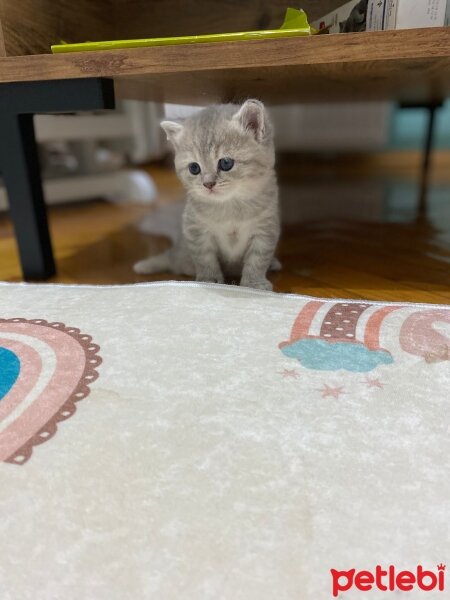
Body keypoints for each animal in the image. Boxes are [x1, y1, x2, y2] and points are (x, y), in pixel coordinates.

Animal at [134, 99, 282, 290]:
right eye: (194, 168)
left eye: (226, 163)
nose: (208, 184)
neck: (231, 205)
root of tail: (174, 253)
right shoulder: (196, 231)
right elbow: (205, 259)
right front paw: (210, 280)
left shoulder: (266, 230)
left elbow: (257, 259)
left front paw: (253, 284)